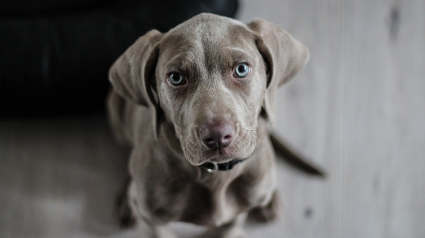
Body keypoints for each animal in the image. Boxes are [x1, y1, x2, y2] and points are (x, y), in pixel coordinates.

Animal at [107, 13, 308, 238]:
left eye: (241, 69)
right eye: (176, 78)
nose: (218, 136)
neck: (215, 175)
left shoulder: (235, 216)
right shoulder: (151, 219)